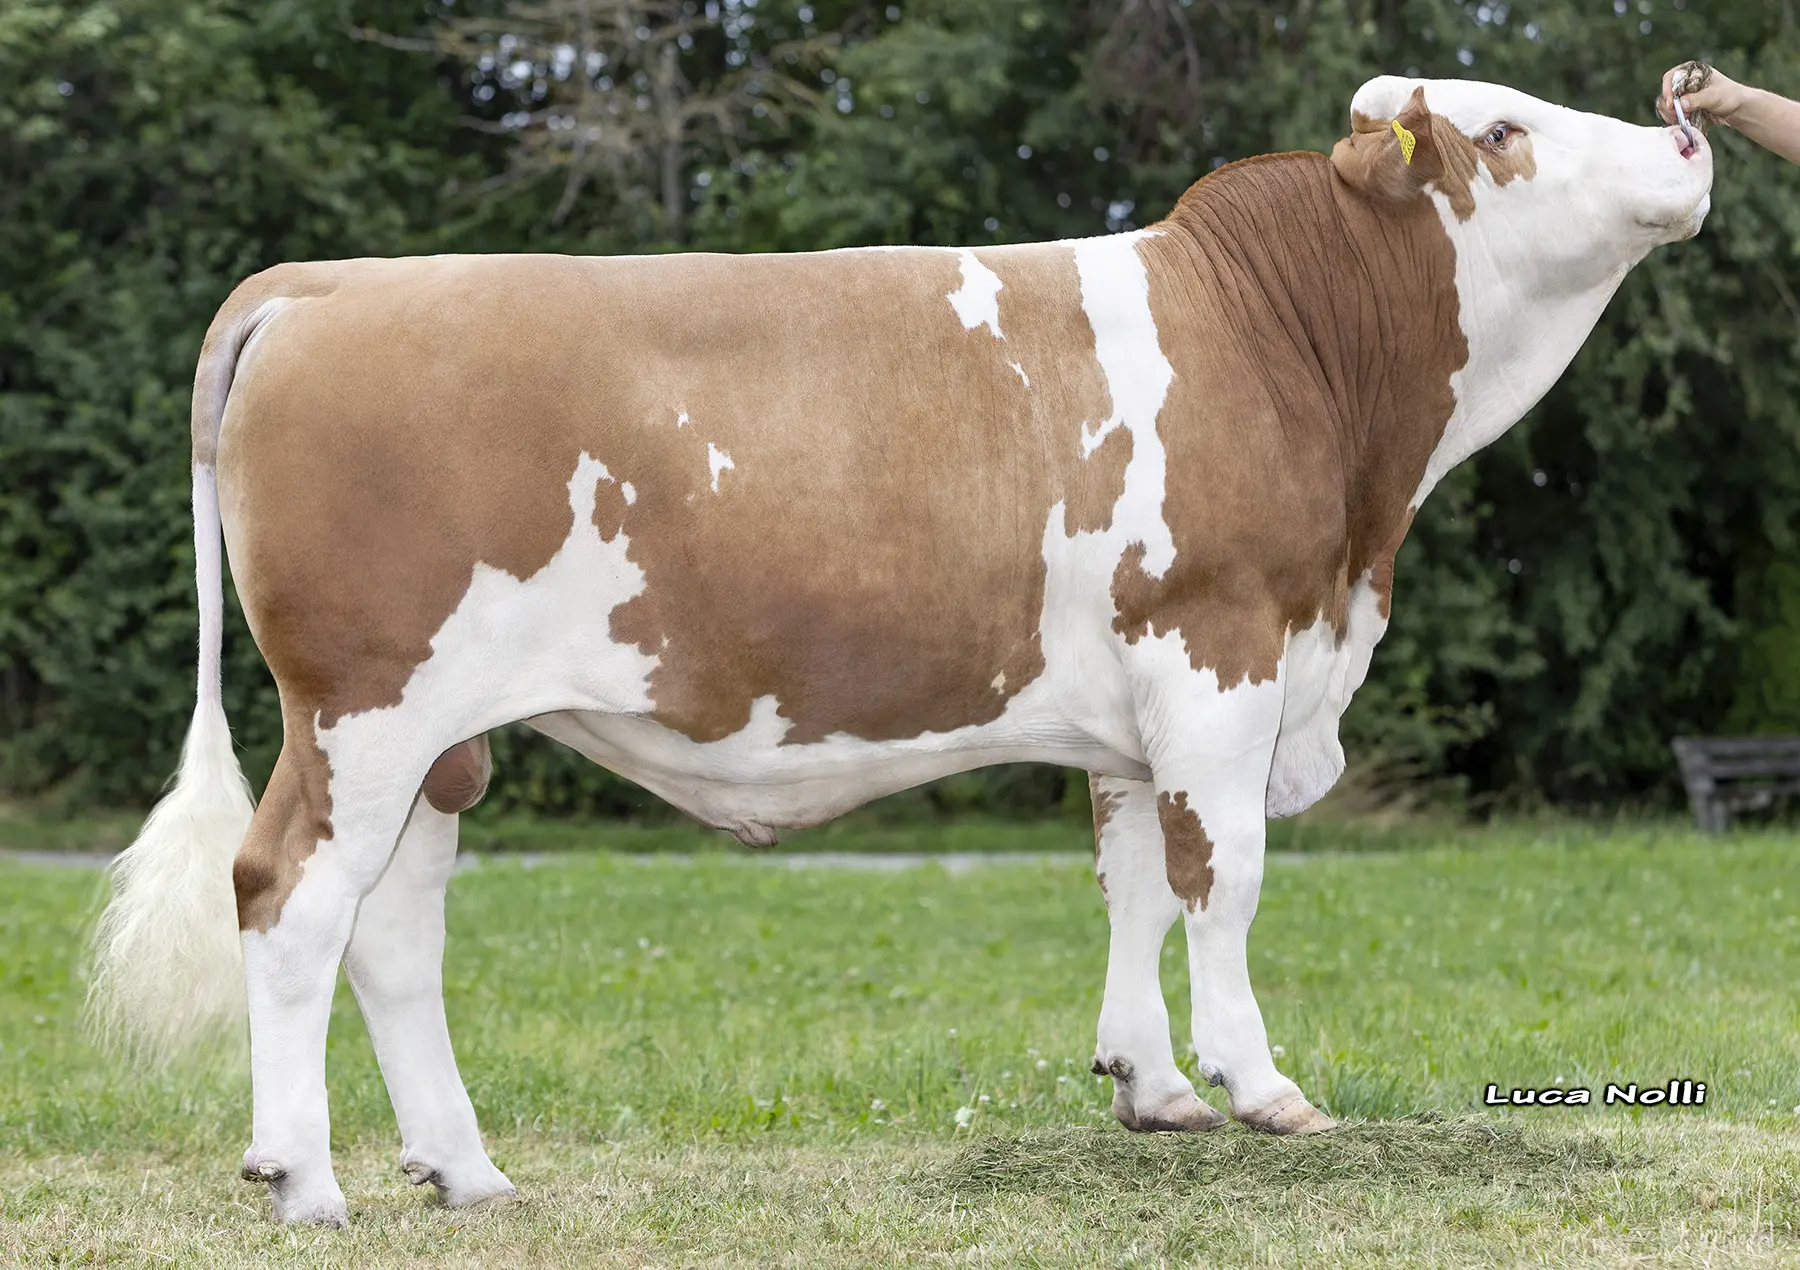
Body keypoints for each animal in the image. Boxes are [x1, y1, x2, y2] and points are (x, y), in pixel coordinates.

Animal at [87, 75, 1712, 1226]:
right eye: (1503, 125)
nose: (1689, 135)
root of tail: (325, 281)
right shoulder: (1219, 647)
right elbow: (1224, 874)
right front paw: (1261, 1087)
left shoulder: (1136, 701)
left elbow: (1134, 878)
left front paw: (1153, 1087)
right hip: (362, 708)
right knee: (288, 898)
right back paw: (305, 1179)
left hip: (440, 739)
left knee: (395, 930)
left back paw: (464, 1170)